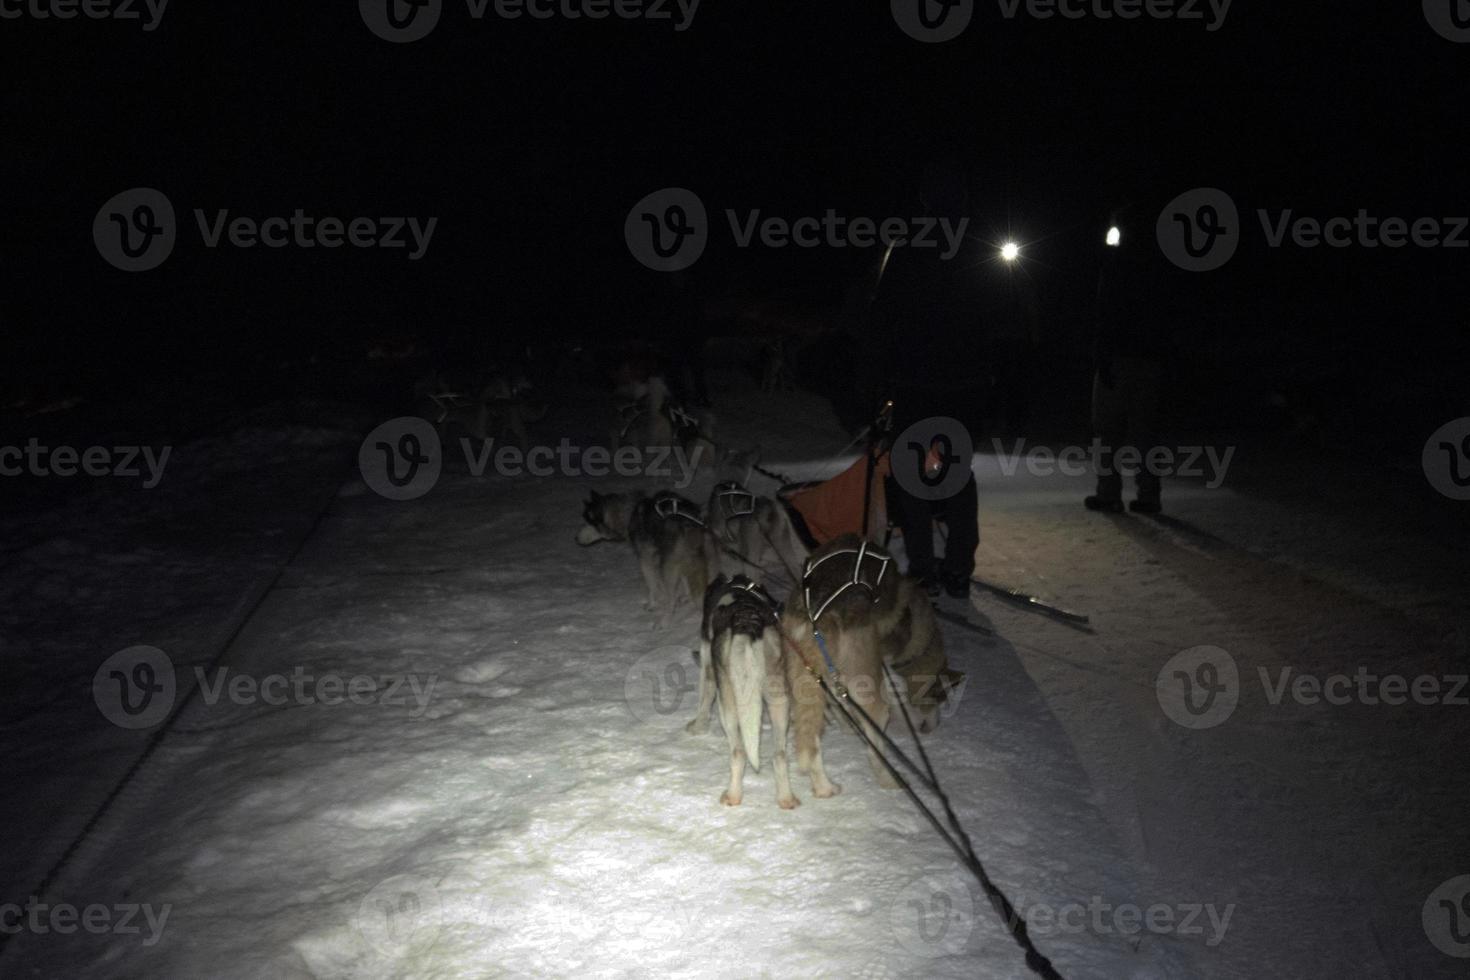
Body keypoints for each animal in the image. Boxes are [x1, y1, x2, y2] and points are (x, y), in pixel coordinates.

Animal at [573, 490, 711, 628]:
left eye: (589, 522)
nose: (575, 538)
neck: (629, 513)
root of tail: (688, 524)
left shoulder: (646, 560)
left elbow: (652, 585)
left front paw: (652, 604)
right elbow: (684, 579)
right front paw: (687, 596)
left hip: (667, 569)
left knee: (671, 599)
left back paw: (664, 621)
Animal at [782, 537, 964, 799]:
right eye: (939, 698)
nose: (933, 727)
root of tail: (822, 613)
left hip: (805, 684)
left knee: (811, 739)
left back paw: (824, 787)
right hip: (872, 702)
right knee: (874, 752)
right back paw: (889, 780)